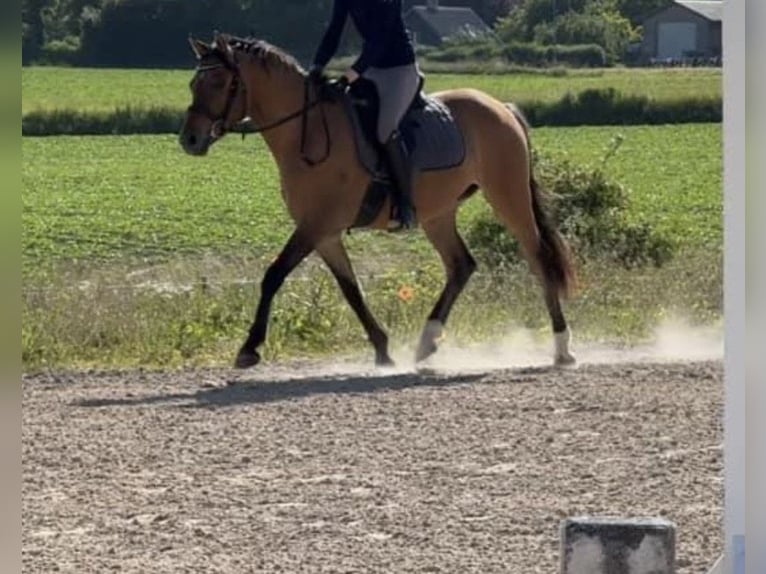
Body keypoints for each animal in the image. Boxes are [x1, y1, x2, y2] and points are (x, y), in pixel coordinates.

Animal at [178, 33, 576, 372]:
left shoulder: (315, 226)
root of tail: (501, 107)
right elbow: (351, 290)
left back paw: (561, 349)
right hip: (438, 214)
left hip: (508, 196)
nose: (190, 140)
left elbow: (273, 275)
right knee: (461, 265)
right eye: (194, 84)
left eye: (221, 84)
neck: (306, 131)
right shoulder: (325, 233)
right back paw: (426, 344)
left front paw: (249, 348)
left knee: (537, 258)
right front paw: (383, 350)